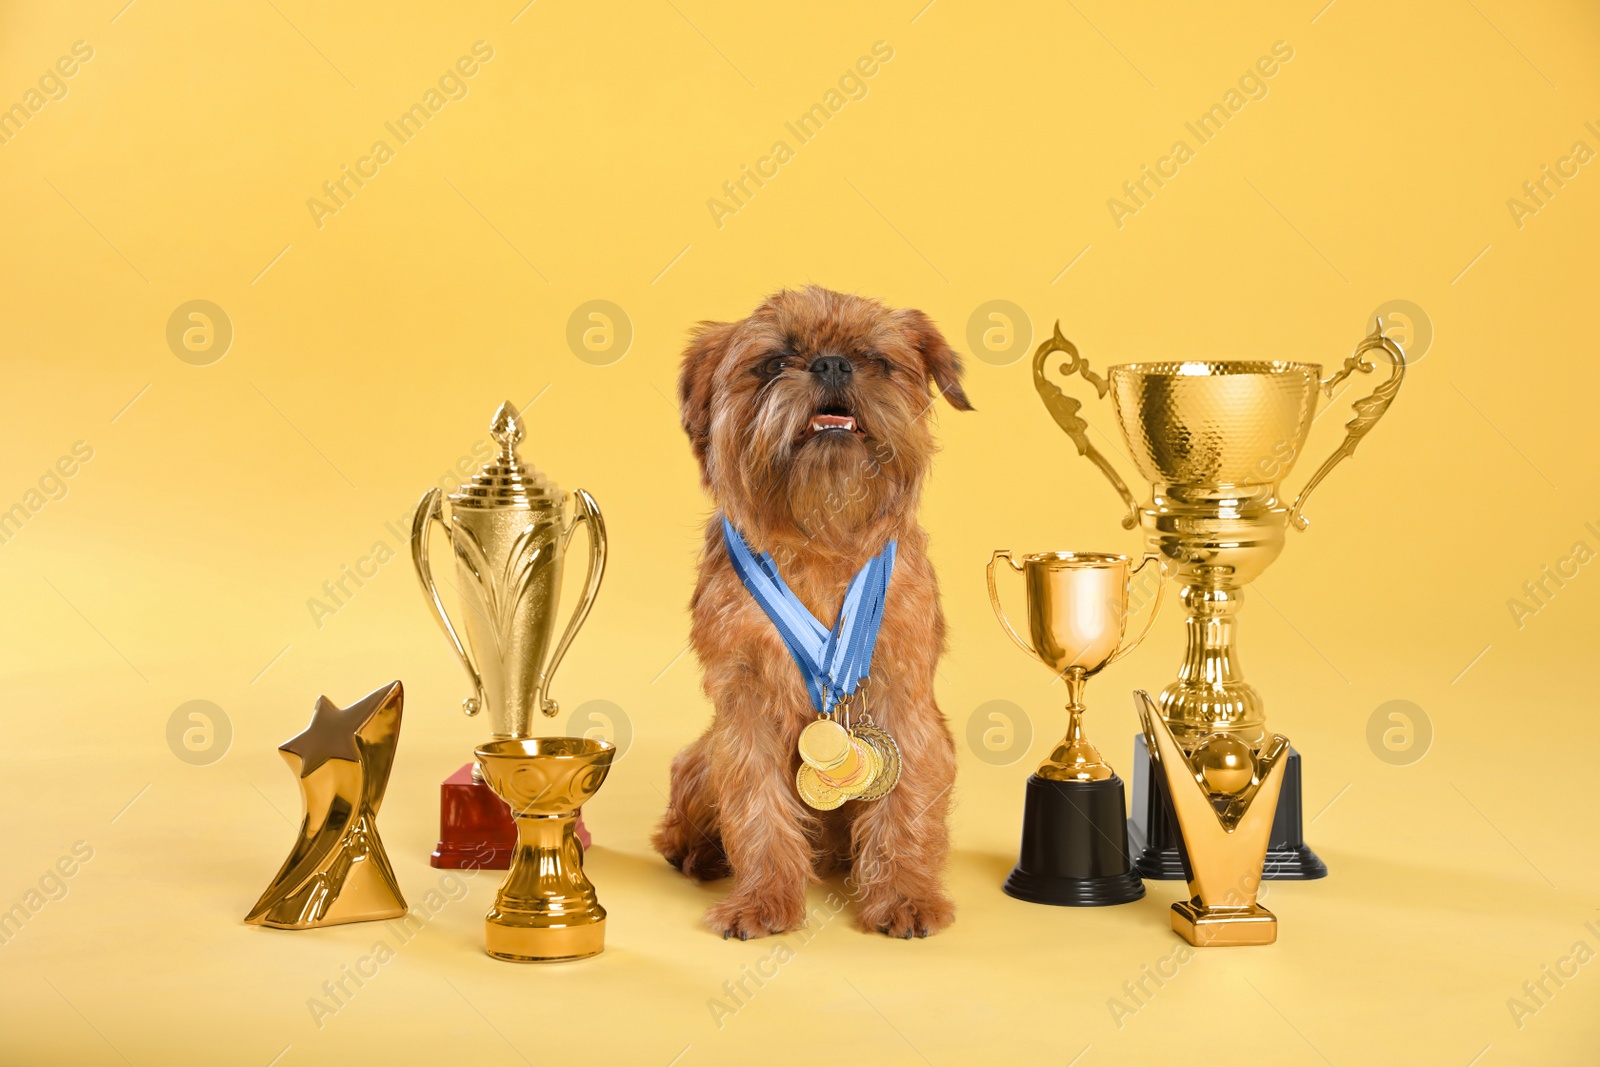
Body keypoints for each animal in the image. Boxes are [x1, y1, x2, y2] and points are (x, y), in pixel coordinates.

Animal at [652, 287, 972, 940]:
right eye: (775, 362)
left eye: (875, 360)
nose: (831, 364)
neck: (822, 542)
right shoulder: (743, 709)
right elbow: (756, 807)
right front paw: (761, 900)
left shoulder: (903, 702)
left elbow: (905, 802)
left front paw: (905, 897)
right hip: (701, 756)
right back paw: (696, 854)